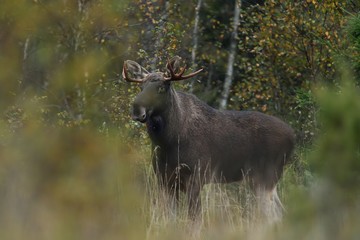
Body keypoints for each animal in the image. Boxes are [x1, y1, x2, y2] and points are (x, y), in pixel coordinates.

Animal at [124, 56, 296, 221]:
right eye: (141, 87)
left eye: (161, 88)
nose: (137, 108)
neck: (168, 142)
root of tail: (293, 137)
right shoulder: (164, 180)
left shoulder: (196, 177)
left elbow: (194, 220)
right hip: (258, 179)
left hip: (267, 175)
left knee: (272, 214)